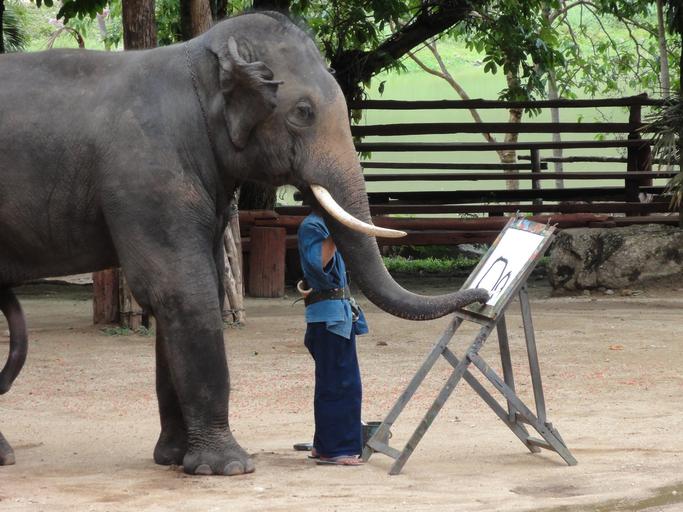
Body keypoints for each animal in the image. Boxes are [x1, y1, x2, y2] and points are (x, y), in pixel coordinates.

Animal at [0, 11, 488, 475]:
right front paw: (229, 467)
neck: (197, 61)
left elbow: (204, 288)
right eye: (303, 111)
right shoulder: (147, 178)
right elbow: (178, 289)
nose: (483, 294)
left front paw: (175, 459)